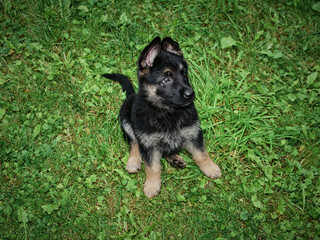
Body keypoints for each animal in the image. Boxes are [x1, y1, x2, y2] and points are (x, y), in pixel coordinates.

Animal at [102, 36, 220, 198]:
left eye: (184, 73)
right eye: (166, 79)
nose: (191, 94)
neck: (167, 111)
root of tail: (132, 95)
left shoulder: (193, 133)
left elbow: (201, 154)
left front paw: (210, 168)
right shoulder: (148, 143)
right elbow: (153, 167)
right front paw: (152, 185)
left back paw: (175, 159)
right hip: (126, 118)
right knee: (134, 142)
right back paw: (133, 160)